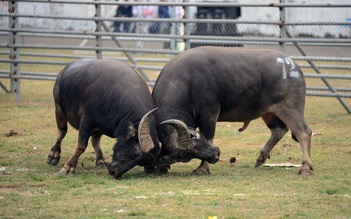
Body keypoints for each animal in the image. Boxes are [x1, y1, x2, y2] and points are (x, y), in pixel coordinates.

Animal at [153, 46, 314, 176]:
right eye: (185, 157)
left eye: (196, 146)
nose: (216, 156)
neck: (184, 81)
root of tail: (293, 66)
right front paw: (161, 168)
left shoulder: (209, 114)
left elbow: (209, 137)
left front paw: (202, 168)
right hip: (269, 112)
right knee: (279, 130)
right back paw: (260, 158)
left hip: (290, 107)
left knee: (303, 132)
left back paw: (305, 167)